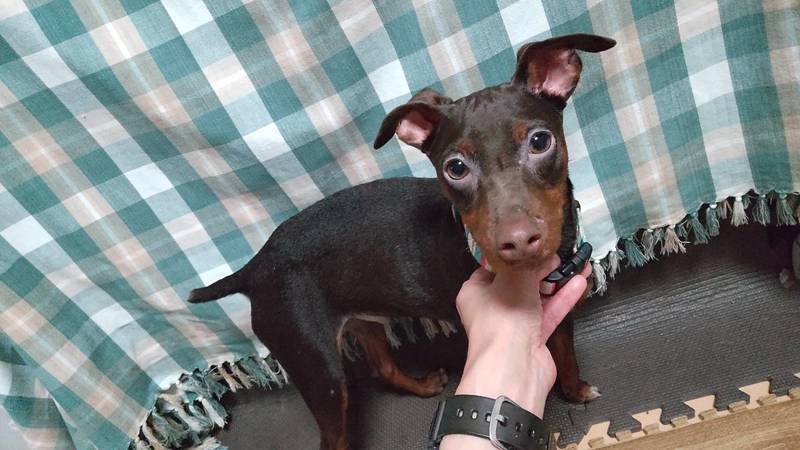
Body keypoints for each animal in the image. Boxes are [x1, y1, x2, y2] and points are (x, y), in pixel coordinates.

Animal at [189, 33, 615, 450]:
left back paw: (422, 385)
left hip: (363, 318)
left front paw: (576, 390)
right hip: (318, 369)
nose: (519, 242)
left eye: (540, 142)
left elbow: (565, 354)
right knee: (334, 433)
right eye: (455, 168)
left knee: (382, 366)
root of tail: (255, 266)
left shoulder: (559, 311)